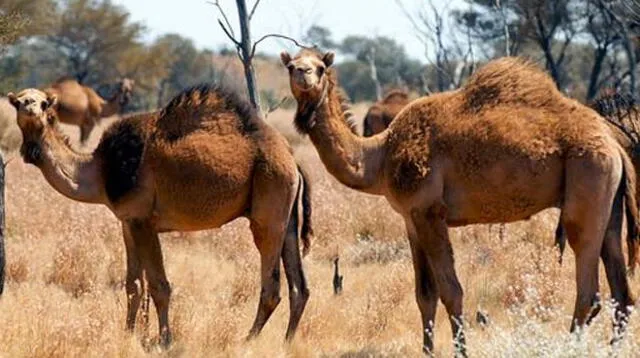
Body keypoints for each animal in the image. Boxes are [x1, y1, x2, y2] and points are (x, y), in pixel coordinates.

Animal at [6, 84, 312, 346]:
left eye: (44, 103)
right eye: (19, 102)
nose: (30, 107)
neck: (101, 171)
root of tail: (293, 160)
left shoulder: (144, 221)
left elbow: (159, 286)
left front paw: (165, 340)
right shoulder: (127, 222)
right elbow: (133, 284)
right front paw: (129, 333)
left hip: (268, 205)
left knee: (272, 286)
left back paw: (247, 340)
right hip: (287, 217)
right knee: (300, 286)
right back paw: (287, 342)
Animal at [282, 49, 636, 356]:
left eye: (320, 67)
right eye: (291, 65)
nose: (303, 74)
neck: (378, 157)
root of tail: (616, 146)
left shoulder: (429, 212)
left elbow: (451, 291)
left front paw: (460, 351)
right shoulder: (411, 219)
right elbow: (424, 293)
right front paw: (427, 350)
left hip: (587, 183)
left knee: (590, 290)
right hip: (608, 203)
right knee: (623, 293)